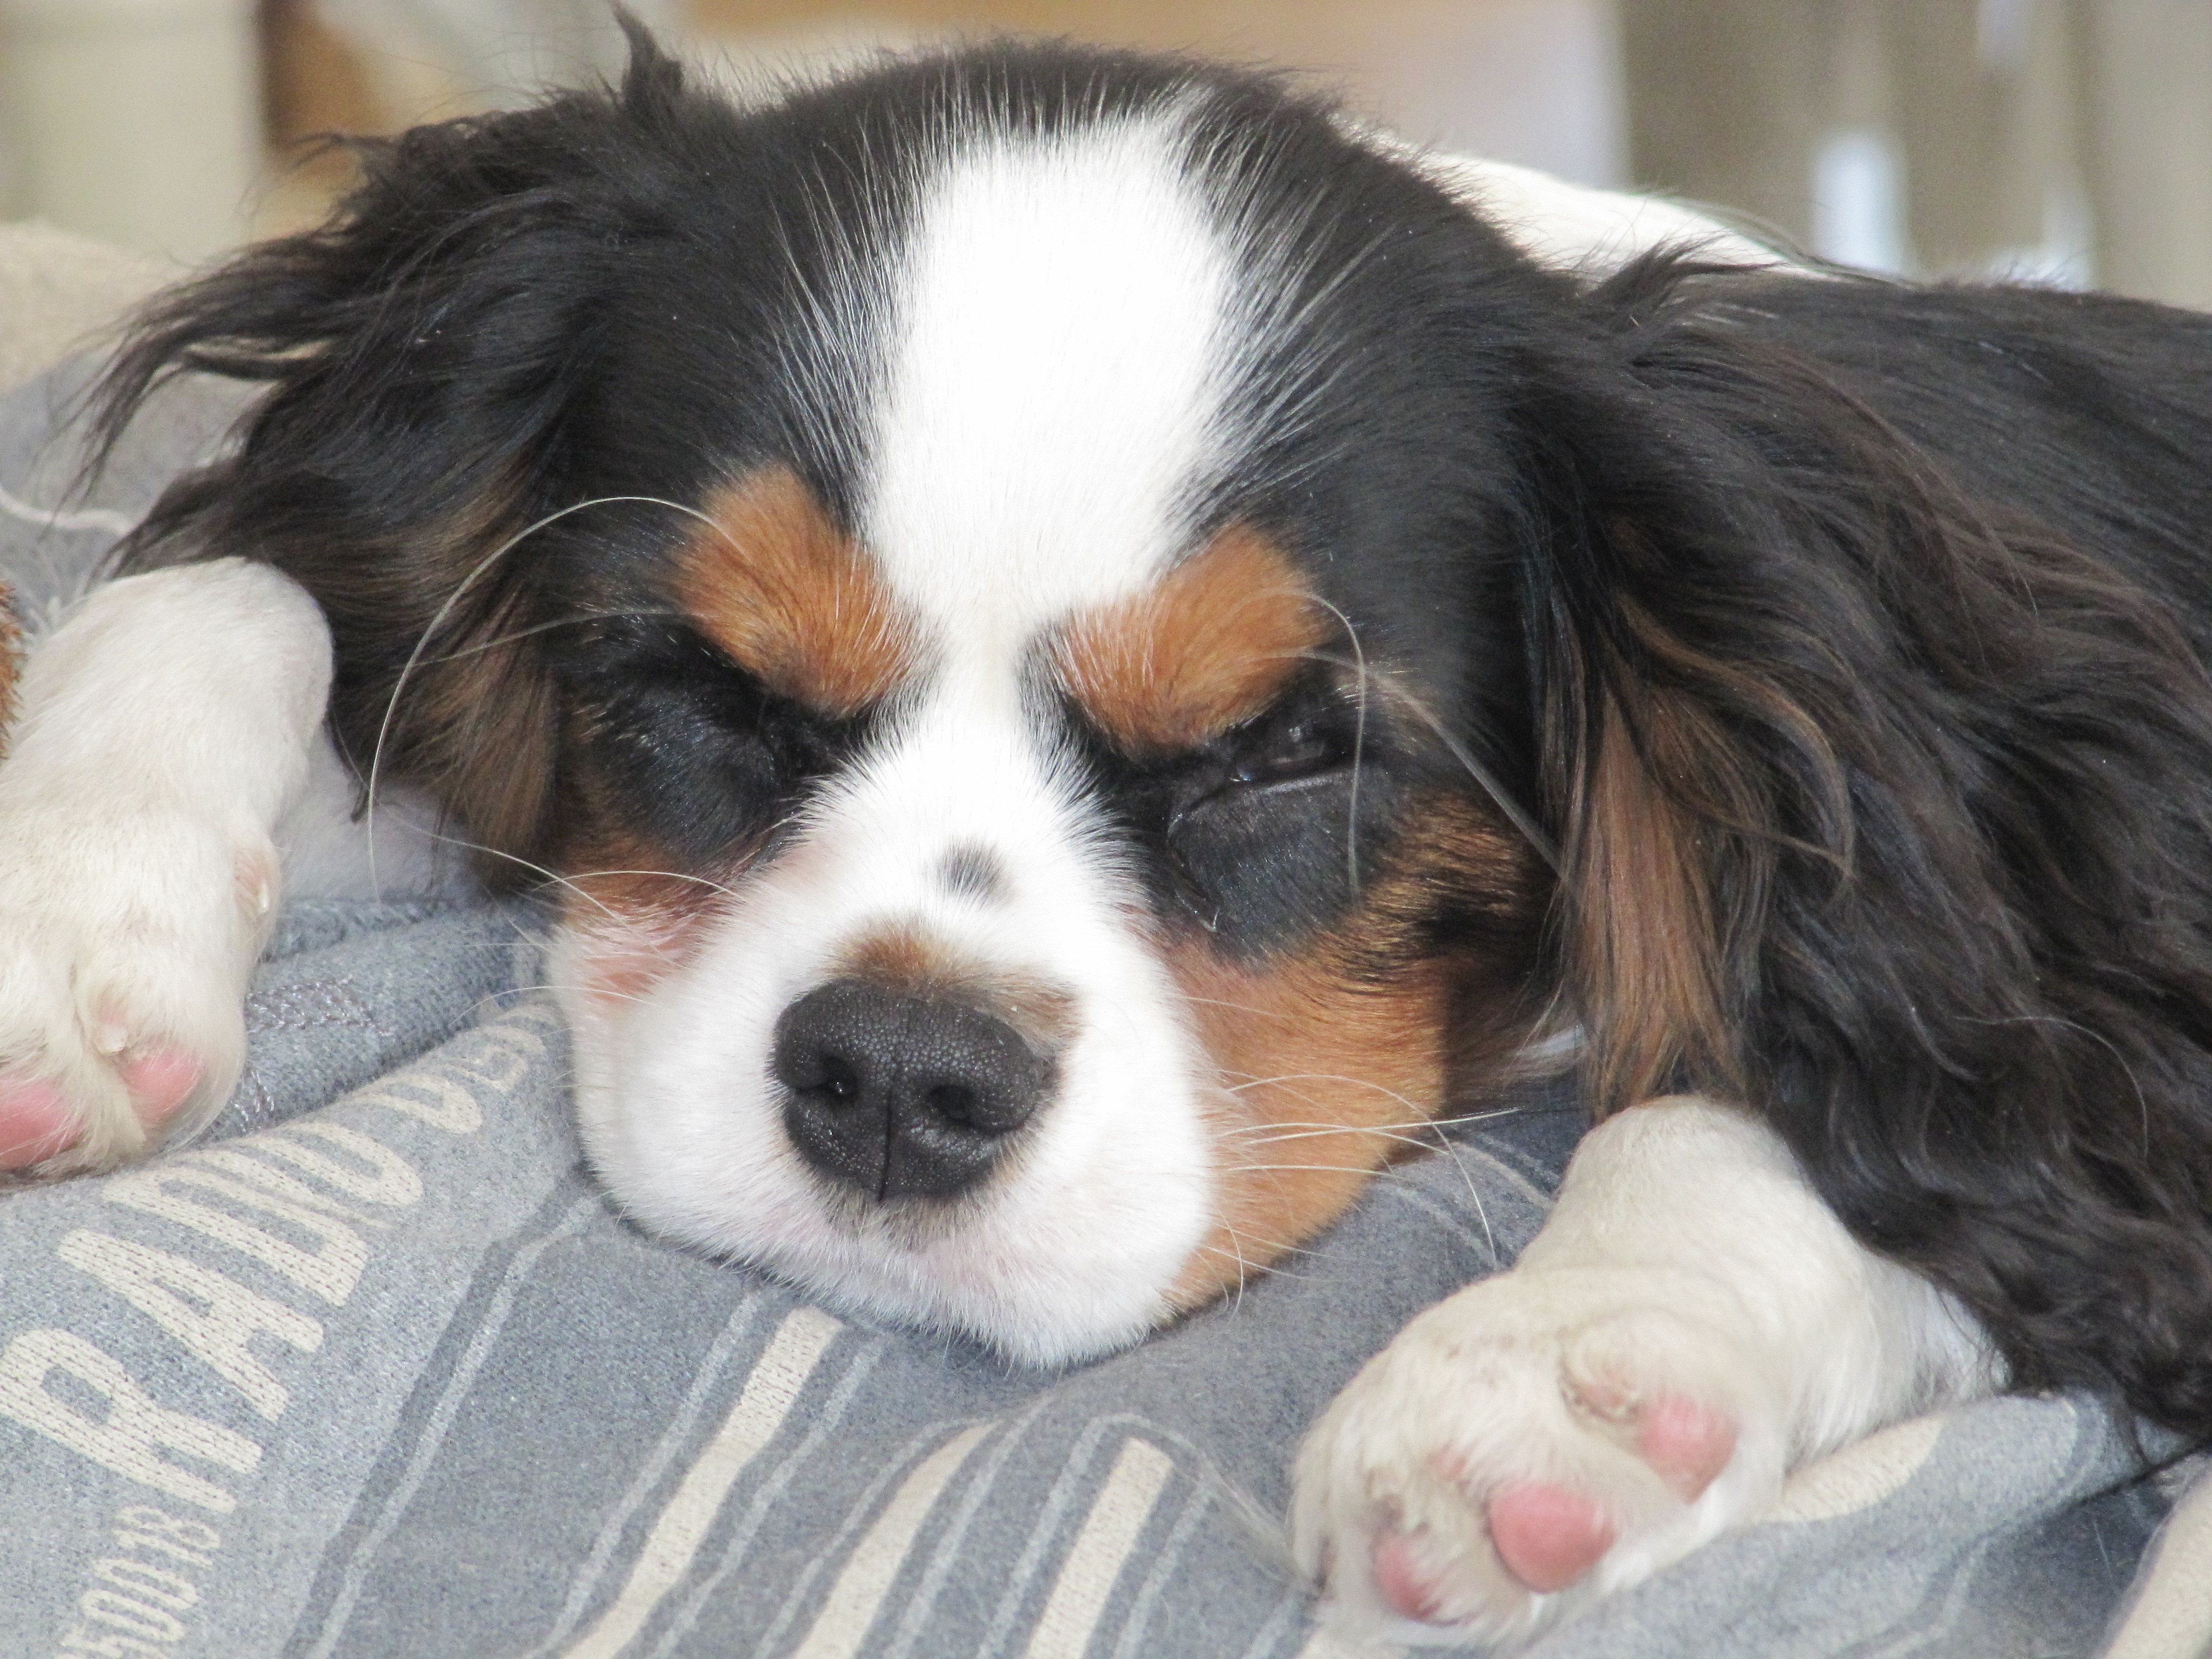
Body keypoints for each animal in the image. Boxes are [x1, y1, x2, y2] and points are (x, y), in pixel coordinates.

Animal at [4, 26, 2212, 1655]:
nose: (901, 1078)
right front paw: (71, 908)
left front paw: (1552, 1365)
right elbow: (237, 588)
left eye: (1273, 755)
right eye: (705, 686)